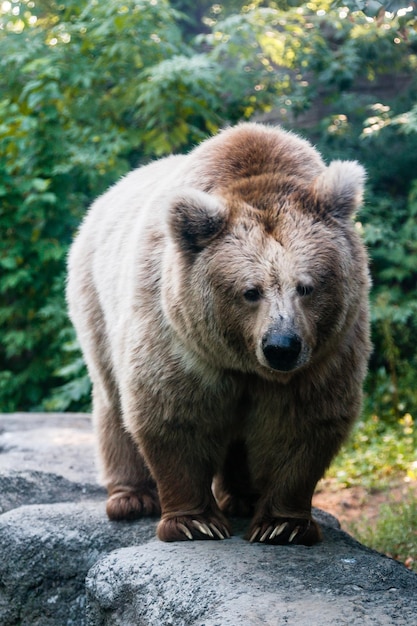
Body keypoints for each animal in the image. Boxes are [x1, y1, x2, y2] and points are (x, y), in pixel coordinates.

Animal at [66, 122, 368, 540]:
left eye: (306, 287)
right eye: (250, 291)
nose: (282, 347)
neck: (243, 361)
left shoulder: (327, 350)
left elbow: (303, 422)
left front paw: (282, 526)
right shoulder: (177, 334)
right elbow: (173, 413)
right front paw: (194, 521)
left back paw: (242, 497)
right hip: (95, 302)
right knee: (112, 400)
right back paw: (131, 498)